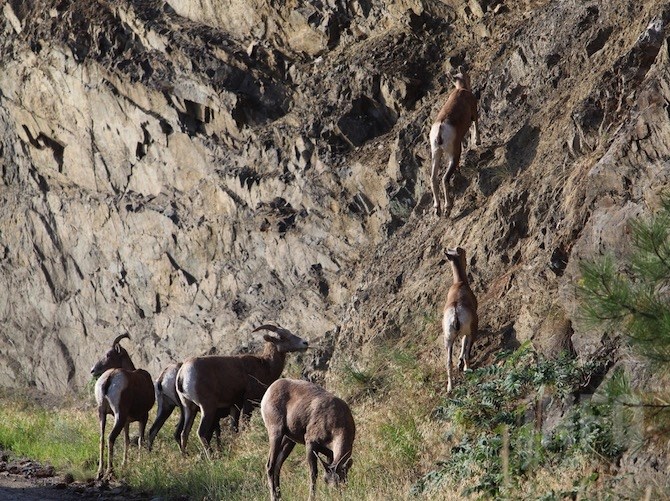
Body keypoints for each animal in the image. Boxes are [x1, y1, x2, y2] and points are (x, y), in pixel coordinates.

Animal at [91, 334, 156, 478]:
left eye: (108, 354)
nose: (93, 370)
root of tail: (109, 377)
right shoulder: (143, 416)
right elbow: (140, 440)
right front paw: (139, 462)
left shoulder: (127, 422)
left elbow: (127, 440)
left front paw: (124, 465)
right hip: (118, 415)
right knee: (110, 437)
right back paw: (110, 471)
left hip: (102, 413)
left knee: (102, 438)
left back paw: (99, 472)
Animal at [175, 322, 308, 456]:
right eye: (281, 337)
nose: (305, 343)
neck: (264, 365)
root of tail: (183, 373)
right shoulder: (248, 402)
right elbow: (244, 425)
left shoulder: (235, 405)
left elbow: (234, 428)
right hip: (207, 408)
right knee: (201, 432)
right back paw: (211, 457)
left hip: (189, 409)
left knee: (184, 433)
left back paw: (185, 456)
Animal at [434, 66, 480, 215]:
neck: (461, 90)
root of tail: (440, 129)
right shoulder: (474, 114)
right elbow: (475, 126)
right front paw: (477, 141)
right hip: (453, 155)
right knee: (444, 179)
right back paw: (447, 208)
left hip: (436, 155)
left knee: (433, 179)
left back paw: (437, 209)